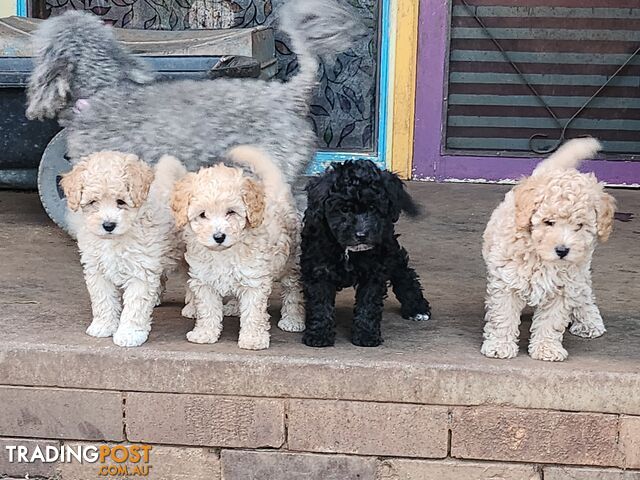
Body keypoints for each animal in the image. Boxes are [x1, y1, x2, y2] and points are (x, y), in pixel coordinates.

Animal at [61, 150, 191, 344]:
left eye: (121, 202)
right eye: (93, 202)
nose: (108, 225)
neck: (114, 240)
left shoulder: (140, 270)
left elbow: (135, 307)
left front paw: (129, 334)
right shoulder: (97, 269)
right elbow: (103, 300)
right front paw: (103, 326)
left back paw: (192, 308)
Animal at [170, 144, 304, 350]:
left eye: (231, 212)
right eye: (202, 215)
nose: (219, 237)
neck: (224, 253)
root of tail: (277, 193)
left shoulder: (254, 280)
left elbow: (254, 313)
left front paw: (253, 339)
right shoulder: (204, 280)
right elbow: (207, 310)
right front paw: (205, 334)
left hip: (291, 262)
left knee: (293, 291)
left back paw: (293, 319)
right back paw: (234, 306)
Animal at [302, 159, 432, 346]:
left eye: (373, 208)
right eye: (344, 209)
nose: (361, 235)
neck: (348, 251)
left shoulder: (375, 270)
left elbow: (368, 303)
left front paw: (366, 335)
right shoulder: (318, 269)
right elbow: (320, 302)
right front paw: (319, 335)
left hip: (389, 248)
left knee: (404, 273)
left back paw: (417, 308)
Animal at [484, 137, 616, 362]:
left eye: (579, 226)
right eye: (548, 222)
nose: (562, 250)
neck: (540, 255)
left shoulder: (564, 286)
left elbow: (551, 320)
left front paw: (546, 348)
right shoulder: (507, 280)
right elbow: (503, 315)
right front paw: (499, 345)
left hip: (581, 272)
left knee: (585, 293)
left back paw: (589, 322)